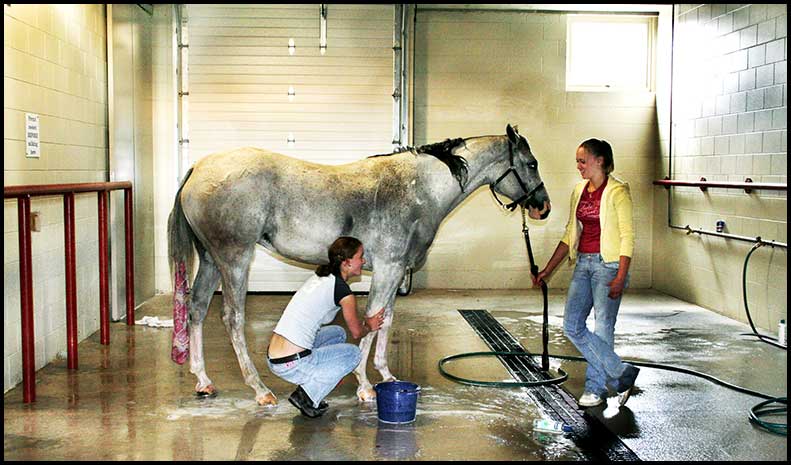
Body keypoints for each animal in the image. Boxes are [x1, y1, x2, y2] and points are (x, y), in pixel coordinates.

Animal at [169, 124, 552, 406]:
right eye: (532, 163)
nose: (543, 206)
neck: (419, 189)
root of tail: (197, 169)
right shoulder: (387, 268)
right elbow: (372, 321)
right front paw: (365, 385)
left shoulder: (396, 272)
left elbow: (386, 320)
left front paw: (387, 376)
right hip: (234, 260)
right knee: (232, 318)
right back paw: (260, 390)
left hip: (211, 261)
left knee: (197, 309)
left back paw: (204, 381)